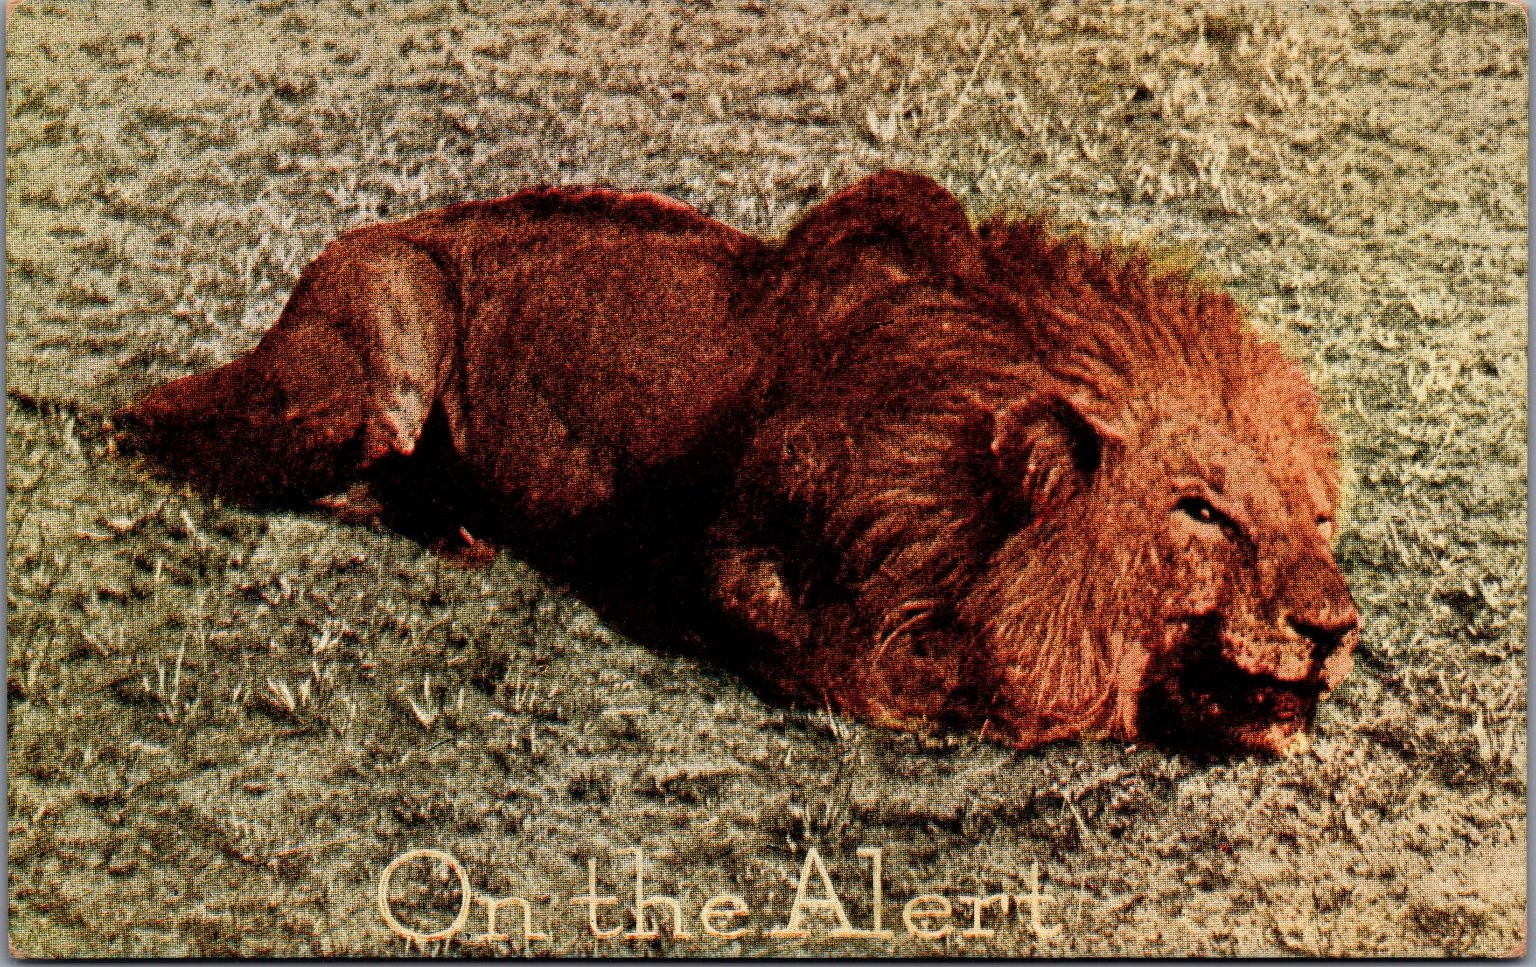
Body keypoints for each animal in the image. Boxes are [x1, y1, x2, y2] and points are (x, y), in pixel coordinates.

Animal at [118, 170, 1358, 755]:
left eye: (1317, 522)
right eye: (1201, 512)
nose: (1335, 628)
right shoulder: (738, 562)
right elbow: (893, 675)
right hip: (384, 332)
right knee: (212, 448)